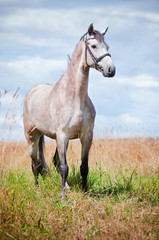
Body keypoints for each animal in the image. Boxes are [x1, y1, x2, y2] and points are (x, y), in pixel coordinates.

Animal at [23, 23, 115, 198]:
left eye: (107, 46)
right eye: (93, 46)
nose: (111, 70)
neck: (74, 98)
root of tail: (31, 92)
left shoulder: (86, 136)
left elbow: (83, 167)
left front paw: (84, 192)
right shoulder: (62, 135)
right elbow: (64, 167)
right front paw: (62, 197)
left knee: (53, 161)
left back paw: (67, 187)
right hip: (33, 137)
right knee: (35, 163)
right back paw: (37, 190)